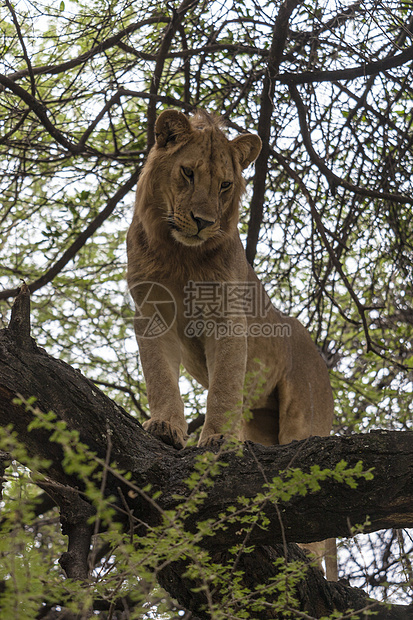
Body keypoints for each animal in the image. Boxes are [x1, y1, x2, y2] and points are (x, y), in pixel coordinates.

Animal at [127, 109, 336, 580]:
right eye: (188, 173)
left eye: (225, 185)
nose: (204, 221)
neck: (180, 254)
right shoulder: (152, 314)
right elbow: (160, 377)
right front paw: (165, 427)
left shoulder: (227, 320)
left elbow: (222, 386)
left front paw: (218, 441)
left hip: (303, 417)